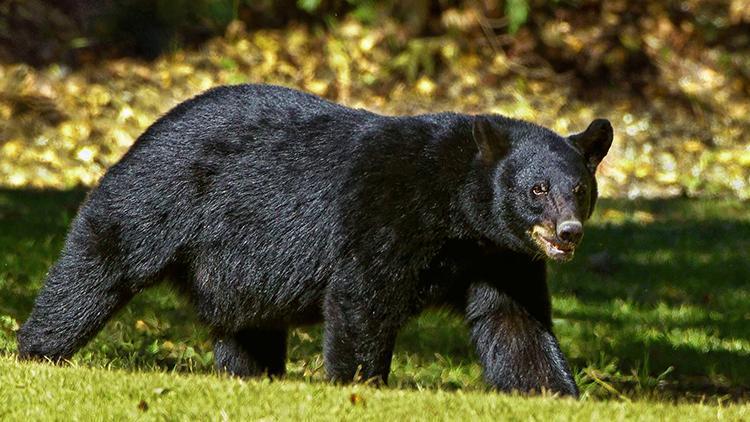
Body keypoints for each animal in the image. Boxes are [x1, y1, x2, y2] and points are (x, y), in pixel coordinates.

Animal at [17, 84, 612, 398]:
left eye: (579, 190)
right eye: (537, 190)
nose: (568, 232)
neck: (456, 210)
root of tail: (149, 126)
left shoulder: (500, 254)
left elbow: (515, 322)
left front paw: (555, 392)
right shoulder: (386, 212)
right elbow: (363, 297)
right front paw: (360, 386)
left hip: (237, 269)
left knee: (246, 326)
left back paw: (251, 377)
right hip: (159, 196)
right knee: (100, 263)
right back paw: (38, 351)